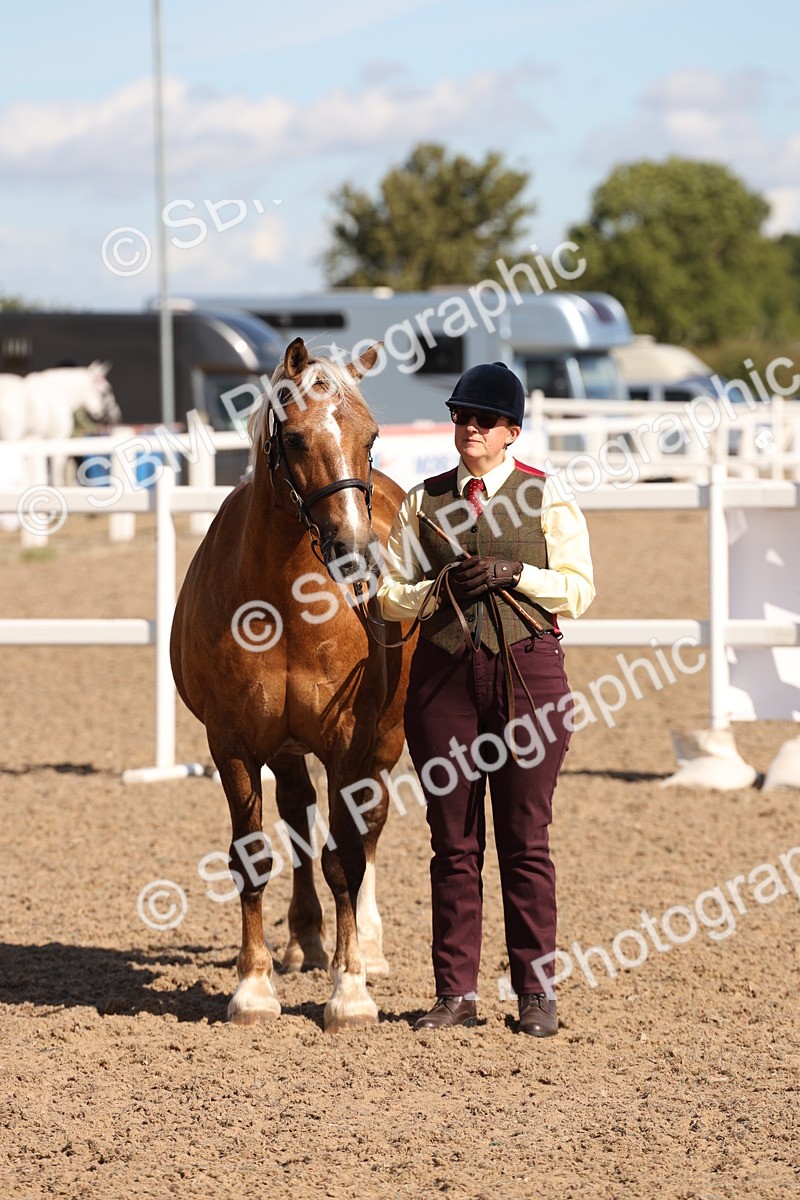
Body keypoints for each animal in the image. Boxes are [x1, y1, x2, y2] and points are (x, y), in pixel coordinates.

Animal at [171, 337, 416, 1032]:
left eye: (371, 436)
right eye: (299, 439)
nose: (356, 551)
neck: (281, 600)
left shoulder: (349, 743)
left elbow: (346, 856)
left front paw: (350, 991)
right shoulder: (233, 744)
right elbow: (255, 854)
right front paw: (253, 988)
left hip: (385, 740)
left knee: (368, 829)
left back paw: (366, 946)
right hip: (284, 749)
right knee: (300, 819)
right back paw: (306, 939)